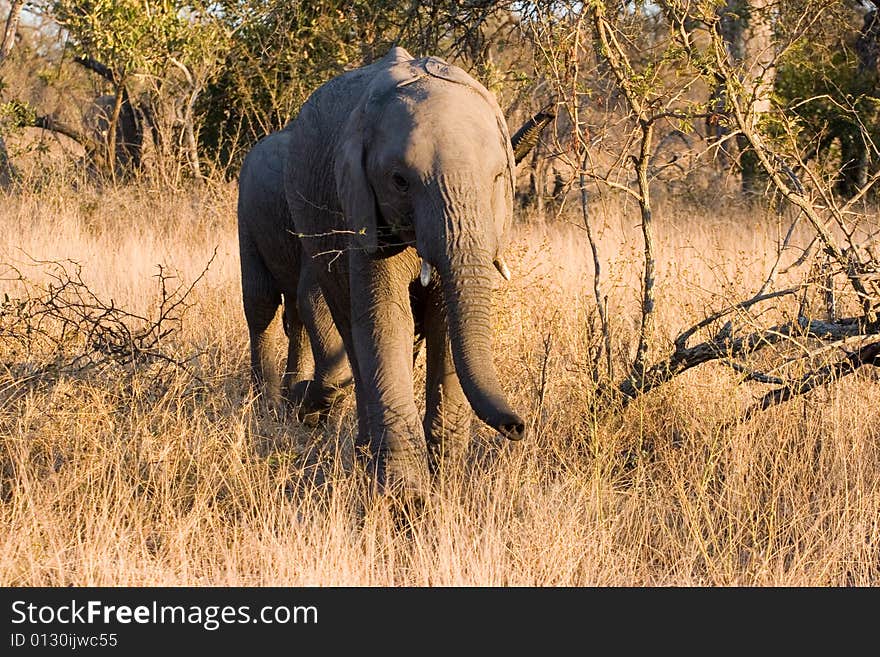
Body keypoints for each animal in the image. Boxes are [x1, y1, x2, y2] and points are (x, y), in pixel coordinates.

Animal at [237, 44, 548, 498]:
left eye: (497, 178)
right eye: (400, 181)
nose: (517, 427)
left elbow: (442, 321)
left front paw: (446, 479)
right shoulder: (358, 208)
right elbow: (384, 318)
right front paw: (407, 498)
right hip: (254, 212)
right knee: (270, 308)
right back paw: (276, 407)